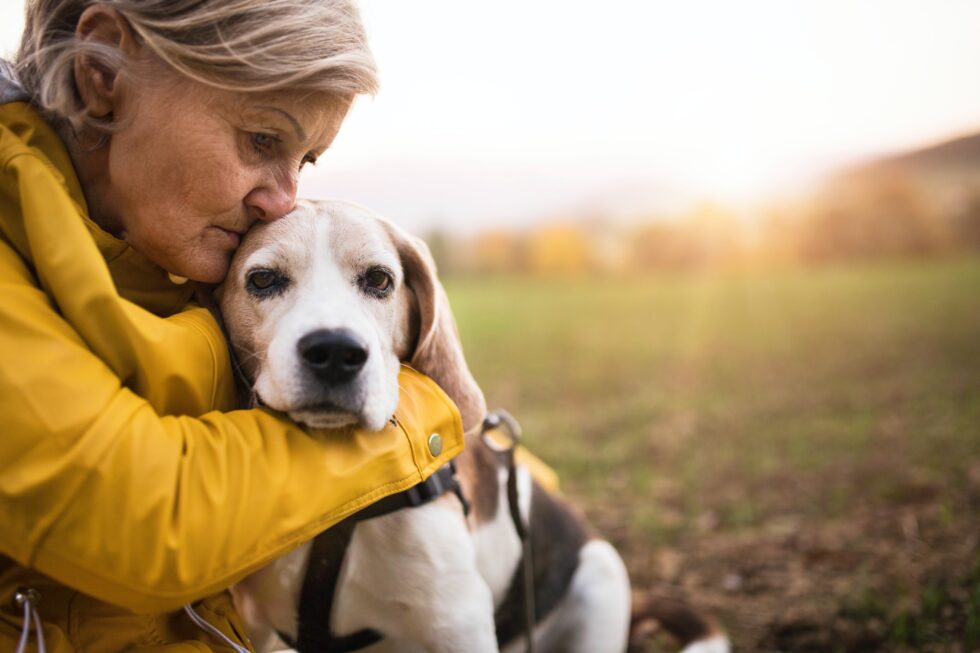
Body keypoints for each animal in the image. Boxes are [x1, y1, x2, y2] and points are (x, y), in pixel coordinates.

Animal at [220, 200, 728, 652]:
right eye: (263, 279)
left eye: (379, 279)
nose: (334, 351)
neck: (339, 491)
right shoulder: (255, 623)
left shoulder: (456, 618)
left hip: (599, 577)